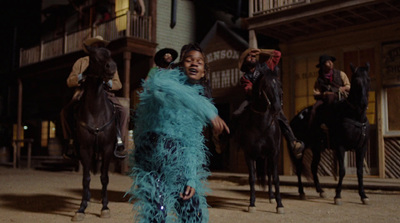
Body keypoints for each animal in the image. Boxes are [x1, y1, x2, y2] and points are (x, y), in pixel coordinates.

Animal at [72, 45, 117, 221]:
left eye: (110, 54)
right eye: (94, 57)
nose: (112, 67)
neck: (96, 110)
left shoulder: (107, 148)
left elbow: (104, 178)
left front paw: (105, 207)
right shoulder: (85, 148)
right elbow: (86, 178)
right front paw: (81, 208)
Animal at [234, 72, 284, 213]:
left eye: (279, 85)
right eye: (266, 86)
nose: (277, 108)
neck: (262, 126)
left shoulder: (274, 154)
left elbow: (276, 178)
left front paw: (279, 204)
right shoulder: (249, 155)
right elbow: (252, 178)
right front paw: (252, 203)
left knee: (269, 173)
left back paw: (271, 197)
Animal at [290, 62, 370, 206]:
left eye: (369, 80)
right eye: (356, 81)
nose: (363, 103)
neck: (355, 116)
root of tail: (293, 120)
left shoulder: (361, 148)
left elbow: (360, 171)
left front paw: (363, 196)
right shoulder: (340, 147)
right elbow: (342, 171)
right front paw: (337, 196)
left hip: (316, 149)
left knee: (313, 167)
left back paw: (320, 191)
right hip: (301, 148)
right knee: (299, 168)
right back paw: (302, 192)